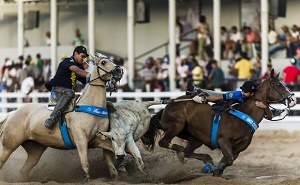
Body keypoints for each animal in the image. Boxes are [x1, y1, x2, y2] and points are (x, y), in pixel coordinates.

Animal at [0, 53, 123, 182]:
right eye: (103, 62)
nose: (119, 71)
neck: (91, 105)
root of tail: (12, 113)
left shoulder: (97, 139)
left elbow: (113, 149)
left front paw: (118, 170)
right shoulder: (81, 140)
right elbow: (85, 161)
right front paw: (86, 178)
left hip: (35, 150)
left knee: (23, 170)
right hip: (9, 145)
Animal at [148, 69, 296, 176]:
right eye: (278, 84)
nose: (293, 98)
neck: (244, 114)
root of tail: (168, 105)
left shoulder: (238, 148)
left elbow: (227, 161)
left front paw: (215, 170)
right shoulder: (223, 140)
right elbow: (228, 160)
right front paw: (212, 169)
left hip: (195, 138)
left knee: (188, 151)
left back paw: (204, 158)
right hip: (176, 125)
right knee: (165, 143)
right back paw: (181, 151)